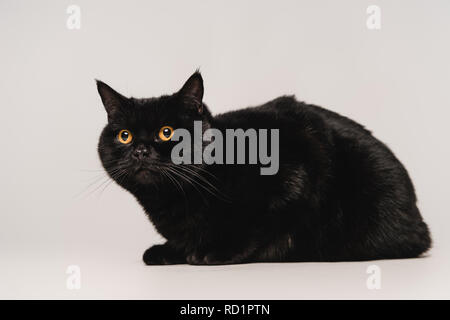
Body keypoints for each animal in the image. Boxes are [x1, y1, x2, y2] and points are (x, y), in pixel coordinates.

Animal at [96, 72, 430, 264]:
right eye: (124, 136)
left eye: (167, 132)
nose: (140, 150)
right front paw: (170, 250)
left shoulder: (296, 171)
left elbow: (258, 226)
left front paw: (214, 251)